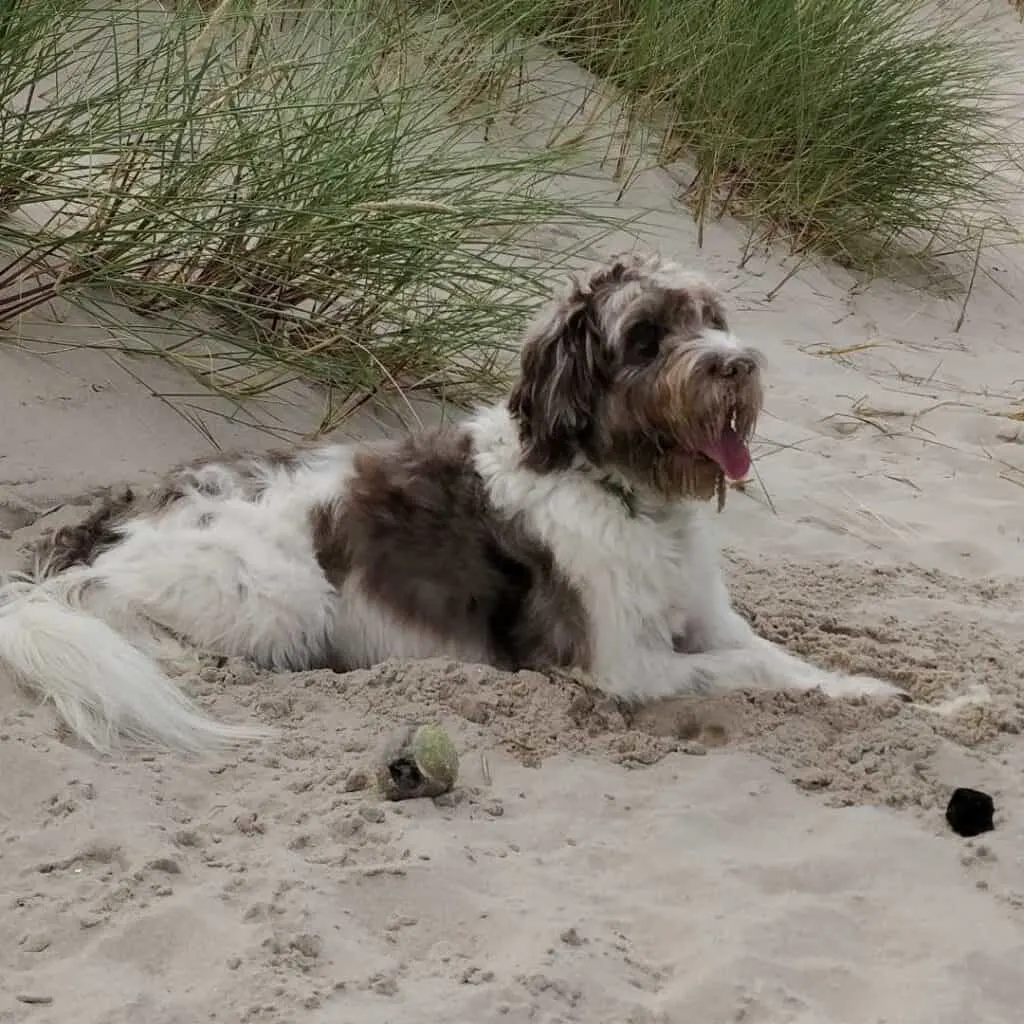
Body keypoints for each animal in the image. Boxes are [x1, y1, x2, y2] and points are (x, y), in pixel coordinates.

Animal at [0, 253, 905, 753]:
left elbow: (780, 658)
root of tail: (103, 532)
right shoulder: (618, 666)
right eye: (646, 339)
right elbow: (747, 668)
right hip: (281, 597)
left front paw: (875, 691)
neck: (618, 489)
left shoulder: (706, 619)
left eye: (710, 315)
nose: (737, 363)